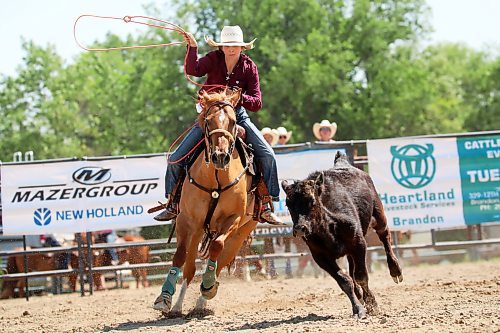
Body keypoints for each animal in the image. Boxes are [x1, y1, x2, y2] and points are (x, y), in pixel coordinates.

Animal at [154, 89, 258, 314]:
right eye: (208, 121)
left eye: (233, 121)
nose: (220, 157)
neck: (216, 180)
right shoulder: (187, 219)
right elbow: (180, 256)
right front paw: (165, 298)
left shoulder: (233, 218)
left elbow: (217, 247)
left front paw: (208, 286)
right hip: (198, 229)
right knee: (190, 267)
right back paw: (179, 305)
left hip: (242, 232)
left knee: (221, 259)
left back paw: (204, 297)